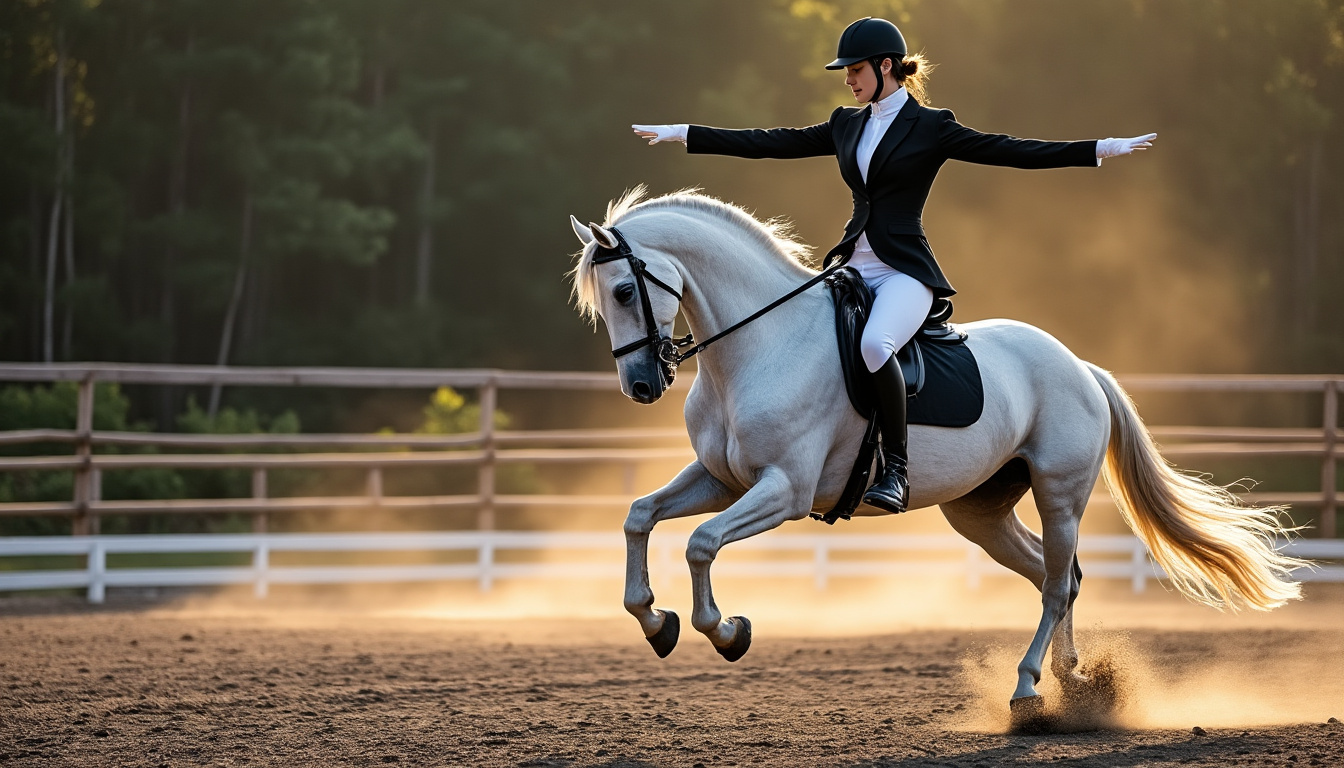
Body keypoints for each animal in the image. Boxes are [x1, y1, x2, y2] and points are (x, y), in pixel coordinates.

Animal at [567, 187, 1303, 718]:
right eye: (601, 302)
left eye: (627, 290)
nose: (641, 385)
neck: (759, 346)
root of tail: (1079, 366)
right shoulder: (720, 478)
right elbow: (640, 515)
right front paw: (655, 622)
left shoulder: (784, 490)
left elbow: (701, 544)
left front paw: (726, 631)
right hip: (981, 513)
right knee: (1054, 578)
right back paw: (1074, 682)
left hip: (1060, 495)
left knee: (1057, 582)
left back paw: (1029, 687)